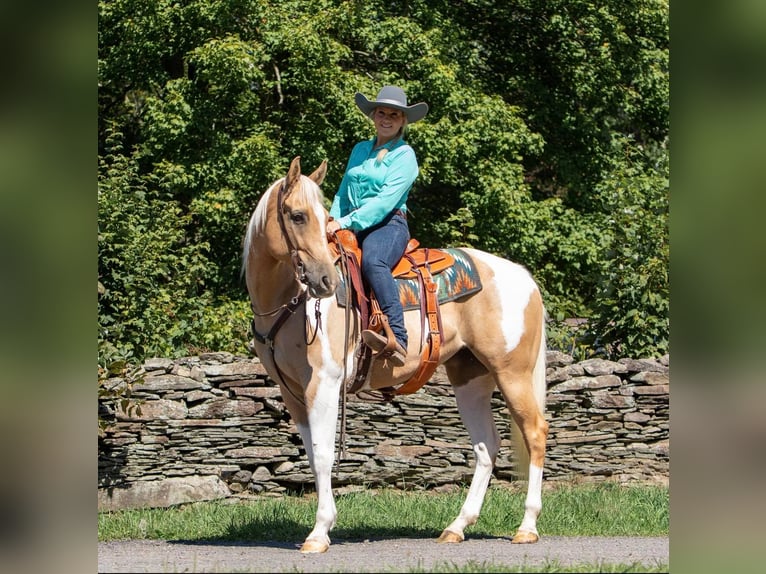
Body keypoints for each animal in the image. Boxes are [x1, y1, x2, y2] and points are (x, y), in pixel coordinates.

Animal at [243, 156, 548, 552]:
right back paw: (457, 526)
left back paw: (527, 527)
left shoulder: (324, 383)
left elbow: (324, 454)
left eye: (322, 216)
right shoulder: (292, 392)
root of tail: (523, 277)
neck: (290, 301)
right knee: (486, 446)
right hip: (469, 378)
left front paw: (319, 532)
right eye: (297, 215)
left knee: (534, 433)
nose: (326, 281)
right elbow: (312, 454)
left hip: (513, 373)